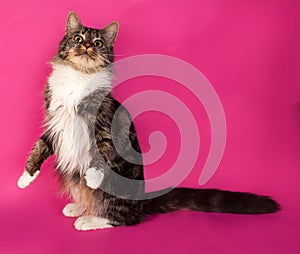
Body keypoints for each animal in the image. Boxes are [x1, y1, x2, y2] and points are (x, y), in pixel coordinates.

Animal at [17, 11, 280, 230]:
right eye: (78, 38)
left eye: (98, 43)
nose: (87, 46)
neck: (79, 77)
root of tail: (143, 200)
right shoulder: (55, 121)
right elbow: (39, 146)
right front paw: (25, 179)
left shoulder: (103, 125)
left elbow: (99, 154)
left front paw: (92, 176)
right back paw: (78, 207)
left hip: (117, 189)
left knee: (126, 217)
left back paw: (90, 219)